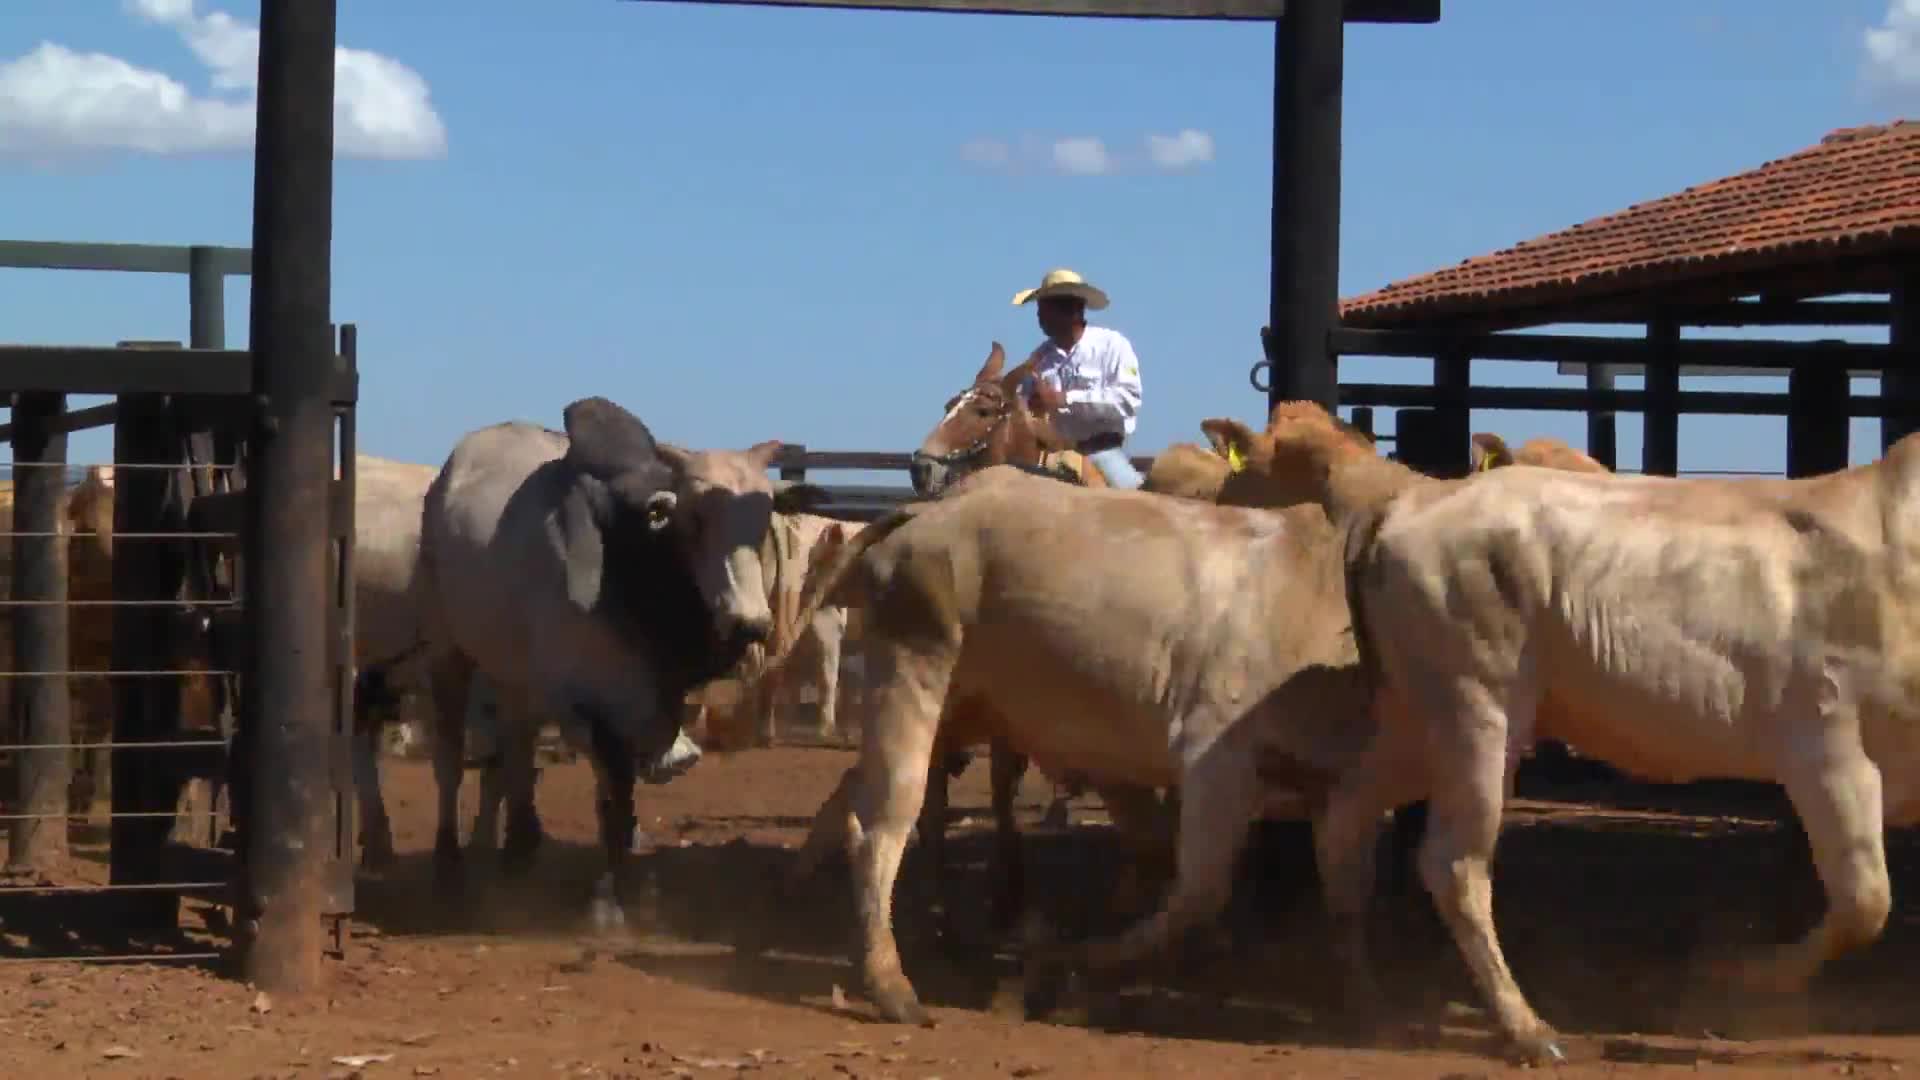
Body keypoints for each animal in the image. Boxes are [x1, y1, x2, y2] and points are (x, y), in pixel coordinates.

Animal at [764, 457, 1382, 1022]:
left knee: (860, 795)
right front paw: (1075, 963)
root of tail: (930, 510)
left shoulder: (1340, 792)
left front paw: (1362, 1005)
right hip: (913, 677)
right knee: (883, 825)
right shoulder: (1217, 757)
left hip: (962, 707)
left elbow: (1346, 896)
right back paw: (890, 982)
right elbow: (1198, 890)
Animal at [1205, 399, 1920, 1060]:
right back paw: (1526, 1029)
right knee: (1453, 862)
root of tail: (1411, 502)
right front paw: (1734, 978)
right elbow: (1865, 901)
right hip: (1479, 709)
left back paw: (1369, 1004)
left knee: (1347, 817)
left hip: (1419, 717)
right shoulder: (1825, 742)